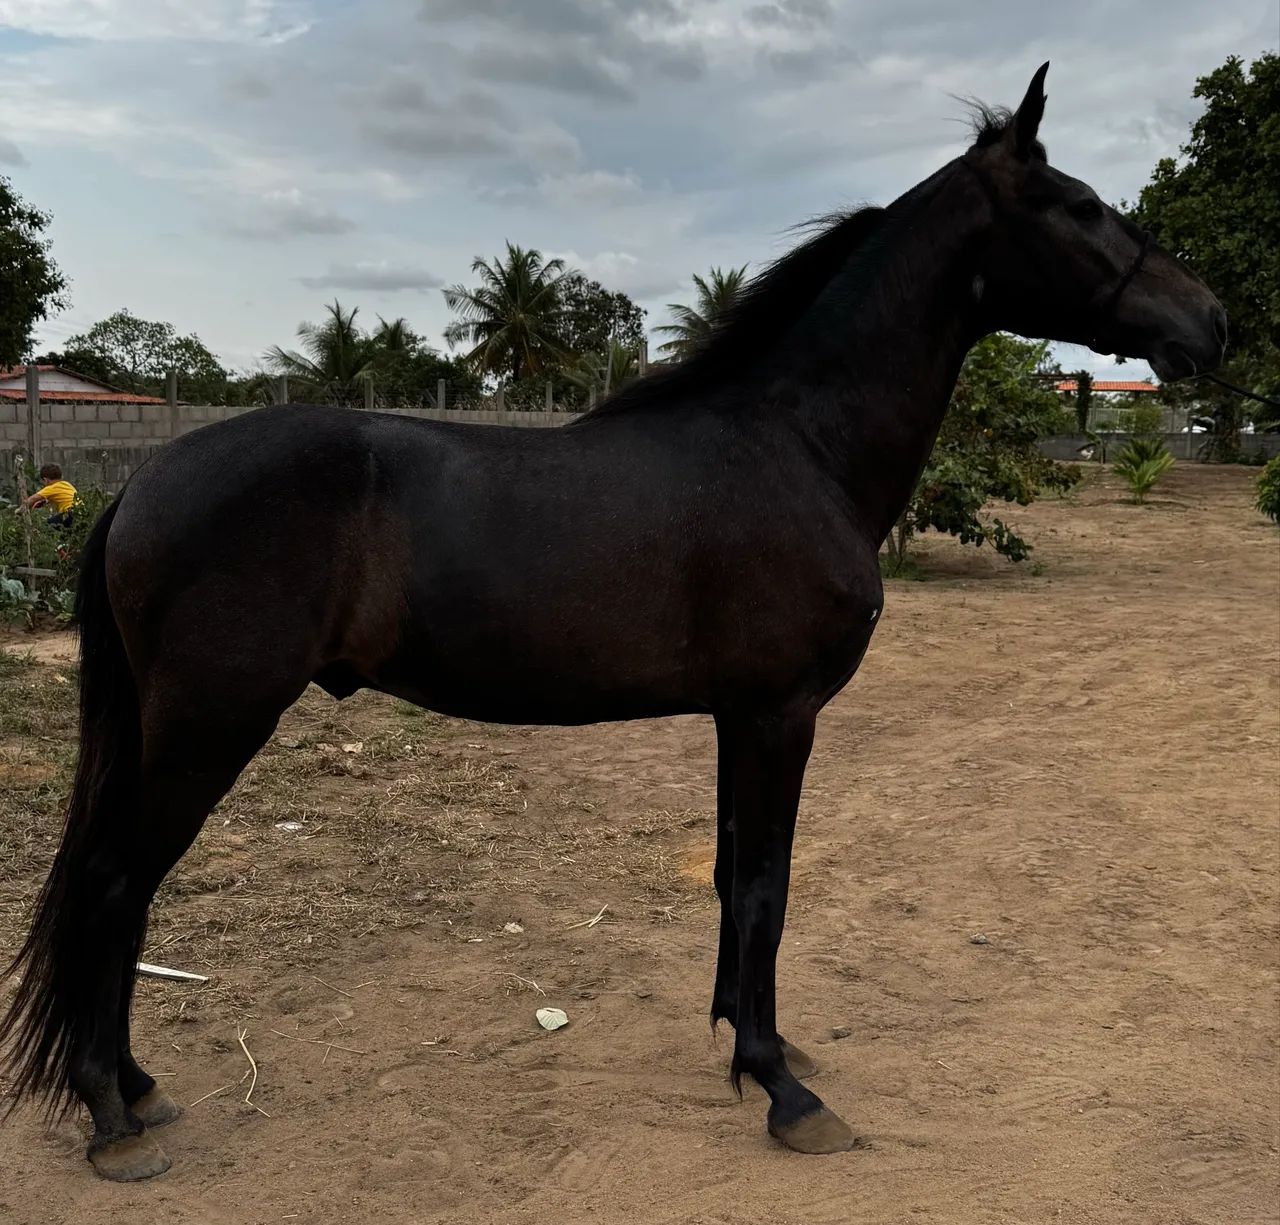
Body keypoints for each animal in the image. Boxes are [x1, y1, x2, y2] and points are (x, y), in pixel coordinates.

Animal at [1, 64, 1225, 1181]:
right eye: (1077, 205)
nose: (1208, 321)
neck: (796, 444)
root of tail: (142, 482)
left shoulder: (741, 718)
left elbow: (736, 879)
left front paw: (749, 1048)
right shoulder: (780, 714)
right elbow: (768, 885)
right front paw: (783, 1090)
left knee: (122, 892)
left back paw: (139, 1088)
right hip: (211, 722)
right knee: (115, 885)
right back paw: (112, 1114)